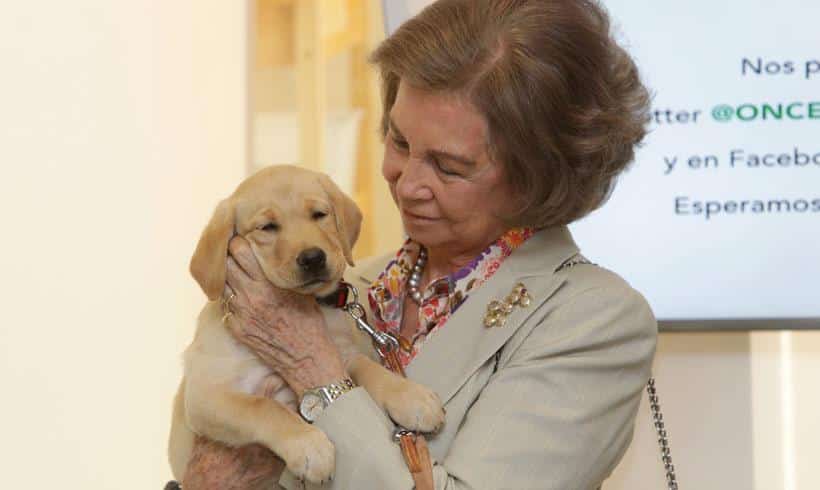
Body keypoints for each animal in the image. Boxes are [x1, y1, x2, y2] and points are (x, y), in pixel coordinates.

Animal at [169, 165, 446, 482]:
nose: (313, 258)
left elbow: (369, 368)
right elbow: (264, 408)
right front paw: (309, 447)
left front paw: (411, 397)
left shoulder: (338, 355)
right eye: (267, 227)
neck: (308, 301)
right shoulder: (207, 394)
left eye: (319, 214)